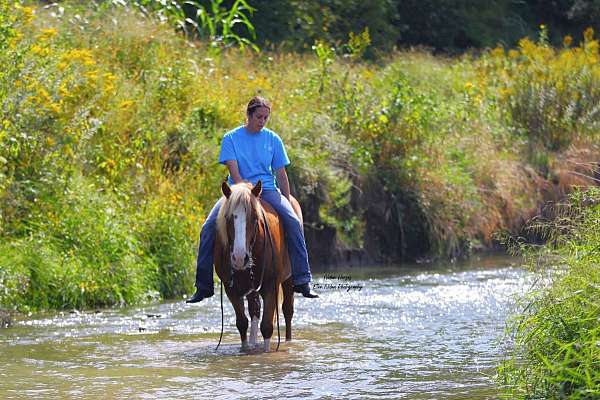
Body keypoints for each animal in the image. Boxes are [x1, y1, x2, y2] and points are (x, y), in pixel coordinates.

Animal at [214, 180, 300, 352]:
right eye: (227, 217)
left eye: (254, 218)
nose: (240, 258)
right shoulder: (231, 289)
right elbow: (242, 323)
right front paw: (246, 349)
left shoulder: (271, 286)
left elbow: (267, 326)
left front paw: (265, 353)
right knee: (254, 309)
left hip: (288, 279)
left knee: (288, 311)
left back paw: (288, 342)